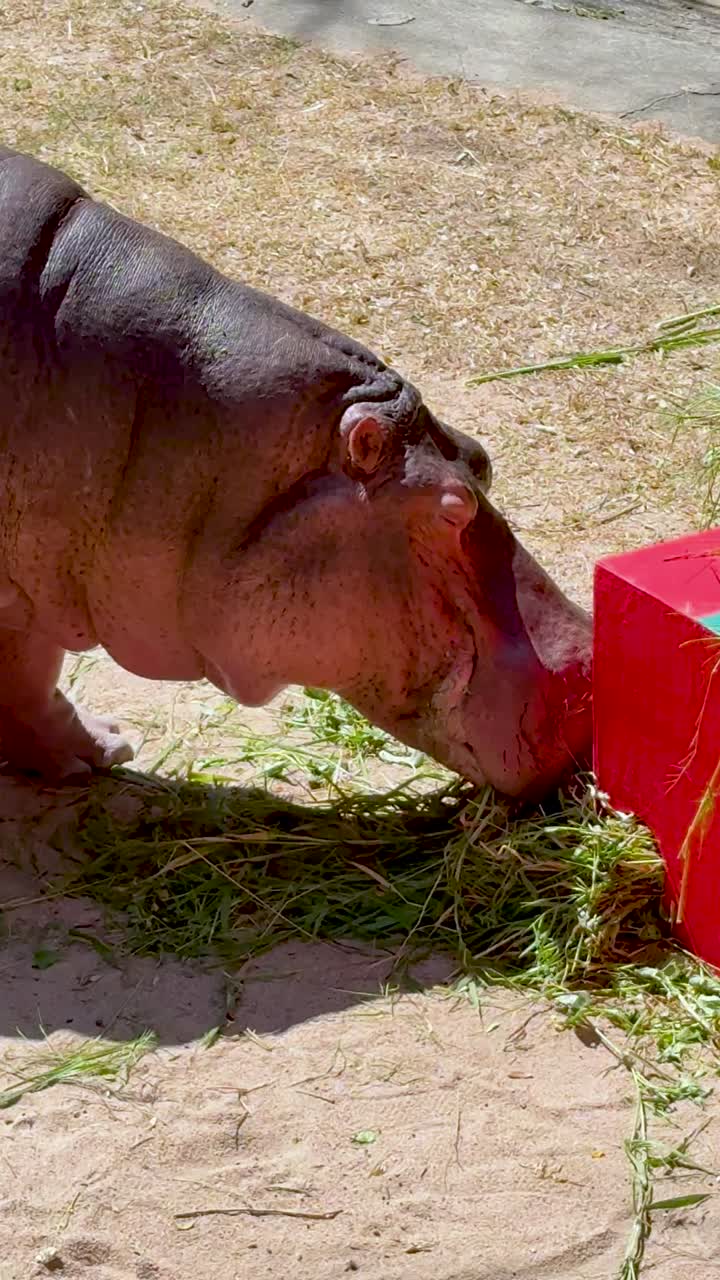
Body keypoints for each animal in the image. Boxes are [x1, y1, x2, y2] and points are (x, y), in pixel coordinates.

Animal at [0, 145, 591, 798]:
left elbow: (29, 671)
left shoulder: (31, 582)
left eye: (481, 456)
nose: (590, 664)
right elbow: (27, 667)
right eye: (451, 510)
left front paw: (102, 748)